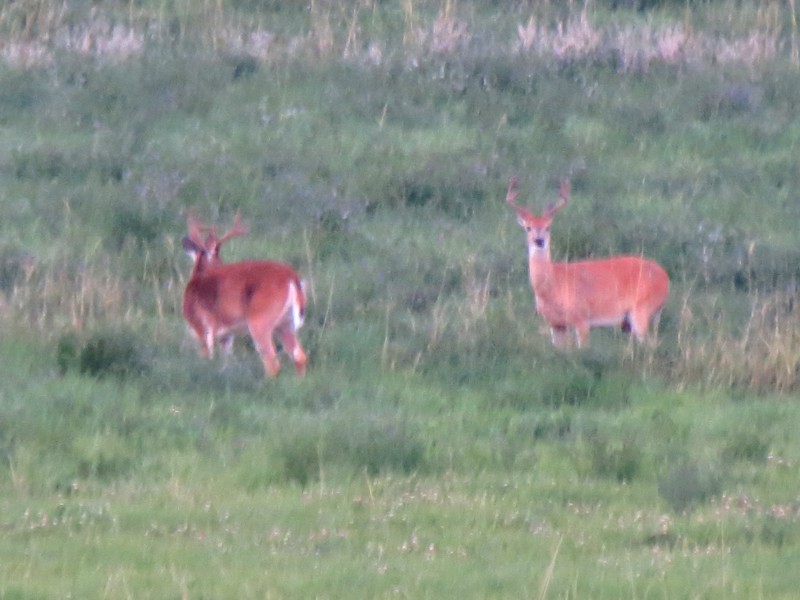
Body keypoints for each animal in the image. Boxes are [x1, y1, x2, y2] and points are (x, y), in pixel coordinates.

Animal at [183, 213, 308, 378]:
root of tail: (291, 277)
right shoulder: (227, 335)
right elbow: (225, 361)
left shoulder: (202, 327)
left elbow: (206, 358)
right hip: (285, 324)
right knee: (299, 356)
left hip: (260, 320)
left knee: (272, 363)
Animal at [506, 176, 668, 350]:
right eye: (528, 228)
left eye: (548, 227)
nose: (539, 240)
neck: (554, 285)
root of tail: (665, 277)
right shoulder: (556, 324)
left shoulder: (582, 317)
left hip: (641, 309)